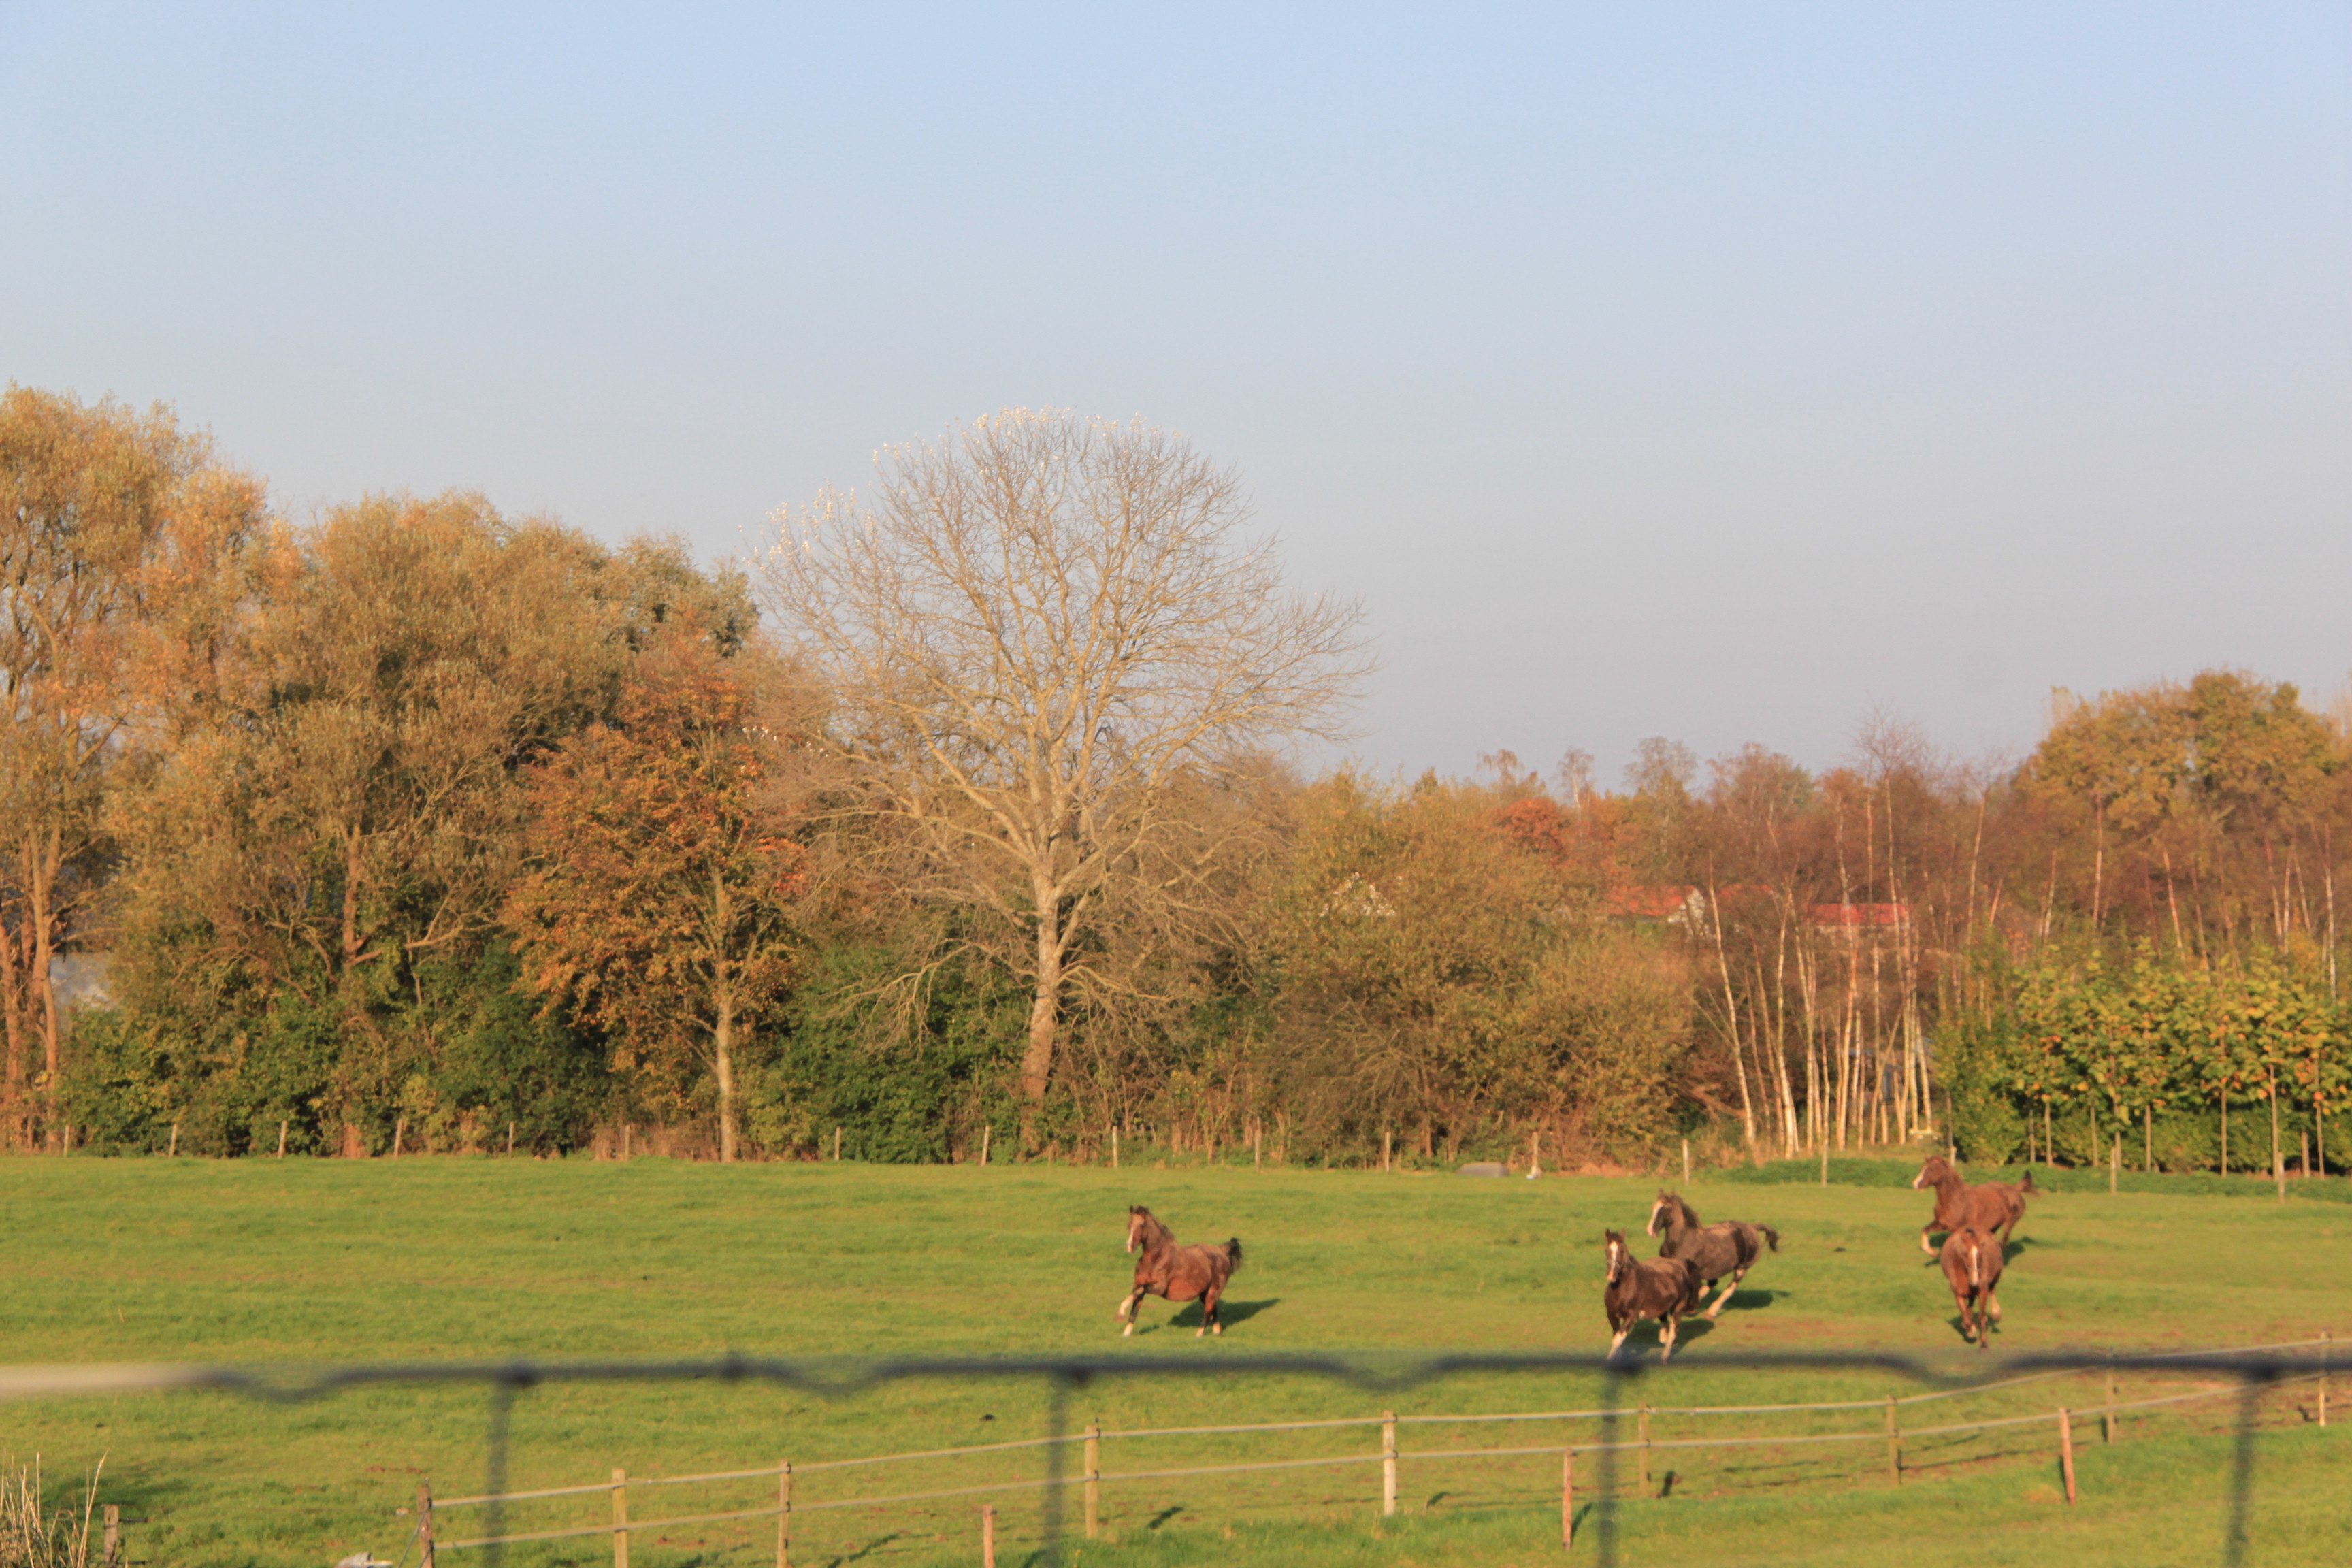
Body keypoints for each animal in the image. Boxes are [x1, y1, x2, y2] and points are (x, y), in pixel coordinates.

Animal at [1116, 1206, 1243, 1337]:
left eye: (1142, 1224)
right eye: (1129, 1225)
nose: (1130, 1247)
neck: (1155, 1259)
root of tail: (1220, 1250)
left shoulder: (1160, 1287)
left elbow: (1138, 1291)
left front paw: (1121, 1312)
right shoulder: (1139, 1284)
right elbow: (1135, 1306)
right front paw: (1126, 1334)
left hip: (1214, 1291)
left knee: (1208, 1311)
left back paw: (1199, 1335)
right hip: (1205, 1293)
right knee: (1213, 1309)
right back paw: (1216, 1331)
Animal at [1603, 1229, 1705, 1362]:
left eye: (1621, 1250)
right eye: (1606, 1250)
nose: (1612, 1275)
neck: (1622, 1289)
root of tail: (1681, 1265)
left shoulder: (1631, 1316)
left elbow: (1617, 1340)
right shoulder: (1612, 1315)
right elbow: (1617, 1339)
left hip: (1678, 1307)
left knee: (1673, 1332)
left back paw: (1665, 1358)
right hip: (1663, 1308)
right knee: (1665, 1330)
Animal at [1646, 1191, 1780, 1318]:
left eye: (1665, 1208)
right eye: (1654, 1207)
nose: (1651, 1230)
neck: (1683, 1241)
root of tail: (1752, 1227)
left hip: (1742, 1268)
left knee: (1731, 1287)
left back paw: (1712, 1311)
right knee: (1713, 1283)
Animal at [1912, 1157, 2033, 1255]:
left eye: (1932, 1169)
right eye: (1923, 1168)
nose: (1916, 1184)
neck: (1954, 1200)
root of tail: (2015, 1188)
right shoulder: (1942, 1224)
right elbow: (1925, 1230)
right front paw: (1932, 1252)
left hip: (2009, 1223)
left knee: (2003, 1243)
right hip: (1993, 1226)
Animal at [1937, 1223, 2005, 1347]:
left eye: (1980, 1253)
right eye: (1964, 1253)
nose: (1975, 1282)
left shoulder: (1982, 1291)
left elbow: (1981, 1317)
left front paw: (1984, 1342)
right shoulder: (1959, 1294)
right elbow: (1967, 1318)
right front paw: (1971, 1330)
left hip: (1995, 1277)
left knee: (1992, 1290)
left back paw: (1996, 1312)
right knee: (1970, 1304)